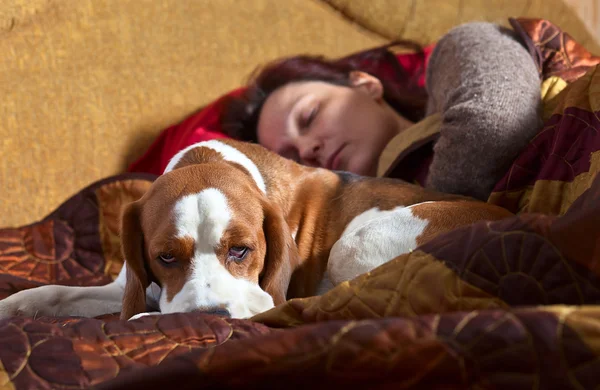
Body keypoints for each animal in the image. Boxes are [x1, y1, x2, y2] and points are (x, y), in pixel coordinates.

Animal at [0, 139, 510, 320]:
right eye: (165, 256)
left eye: (241, 250)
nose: (205, 317)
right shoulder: (127, 285)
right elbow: (51, 293)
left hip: (356, 243)